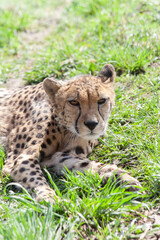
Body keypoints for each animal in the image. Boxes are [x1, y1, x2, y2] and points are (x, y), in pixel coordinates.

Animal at [0, 64, 140, 202]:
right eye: (73, 102)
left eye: (101, 100)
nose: (91, 124)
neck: (65, 129)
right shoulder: (19, 159)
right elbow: (35, 178)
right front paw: (49, 198)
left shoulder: (52, 158)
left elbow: (84, 163)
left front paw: (123, 177)